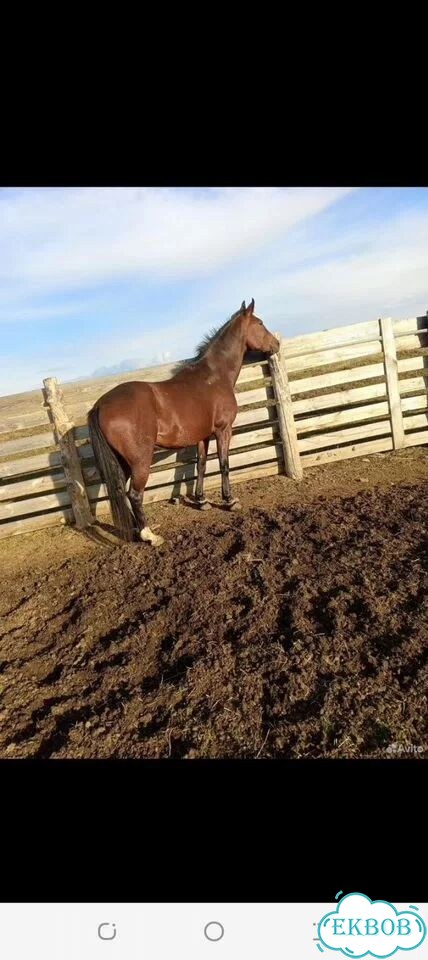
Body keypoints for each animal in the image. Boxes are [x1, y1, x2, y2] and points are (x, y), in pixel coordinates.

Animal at [88, 299, 280, 545]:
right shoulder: (223, 430)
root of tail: (100, 405)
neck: (214, 377)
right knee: (135, 494)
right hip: (140, 461)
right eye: (260, 323)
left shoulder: (203, 436)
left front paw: (202, 501)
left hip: (122, 461)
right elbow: (224, 464)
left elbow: (201, 465)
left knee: (122, 491)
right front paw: (229, 501)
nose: (276, 344)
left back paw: (135, 530)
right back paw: (149, 535)